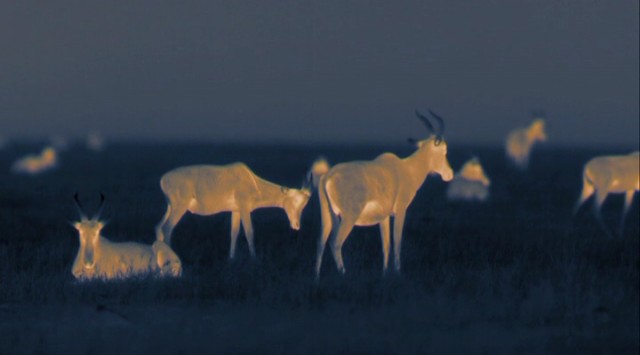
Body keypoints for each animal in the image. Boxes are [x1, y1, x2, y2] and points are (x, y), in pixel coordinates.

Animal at [158, 162, 312, 258]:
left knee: (158, 228)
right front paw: (254, 260)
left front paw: (231, 259)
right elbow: (249, 233)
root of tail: (163, 180)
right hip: (179, 208)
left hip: (169, 208)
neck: (252, 181)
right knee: (167, 228)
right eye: (295, 200)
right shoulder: (244, 209)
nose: (296, 225)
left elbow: (234, 233)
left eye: (304, 205)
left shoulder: (236, 211)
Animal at [316, 110, 456, 280]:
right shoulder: (401, 211)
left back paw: (316, 277)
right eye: (444, 150)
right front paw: (398, 273)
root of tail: (328, 176)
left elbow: (386, 245)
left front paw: (384, 273)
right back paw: (344, 273)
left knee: (321, 242)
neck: (405, 169)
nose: (449, 174)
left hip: (328, 216)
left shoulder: (384, 217)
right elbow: (397, 242)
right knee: (335, 242)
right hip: (349, 217)